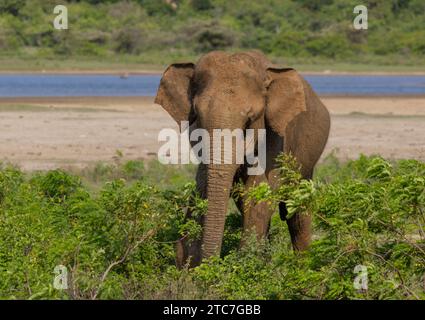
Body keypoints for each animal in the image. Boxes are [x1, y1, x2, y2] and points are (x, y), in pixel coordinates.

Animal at [154, 51, 330, 268]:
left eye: (249, 120)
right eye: (198, 116)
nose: (208, 262)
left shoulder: (276, 136)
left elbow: (257, 194)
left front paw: (243, 263)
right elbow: (203, 185)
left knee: (296, 209)